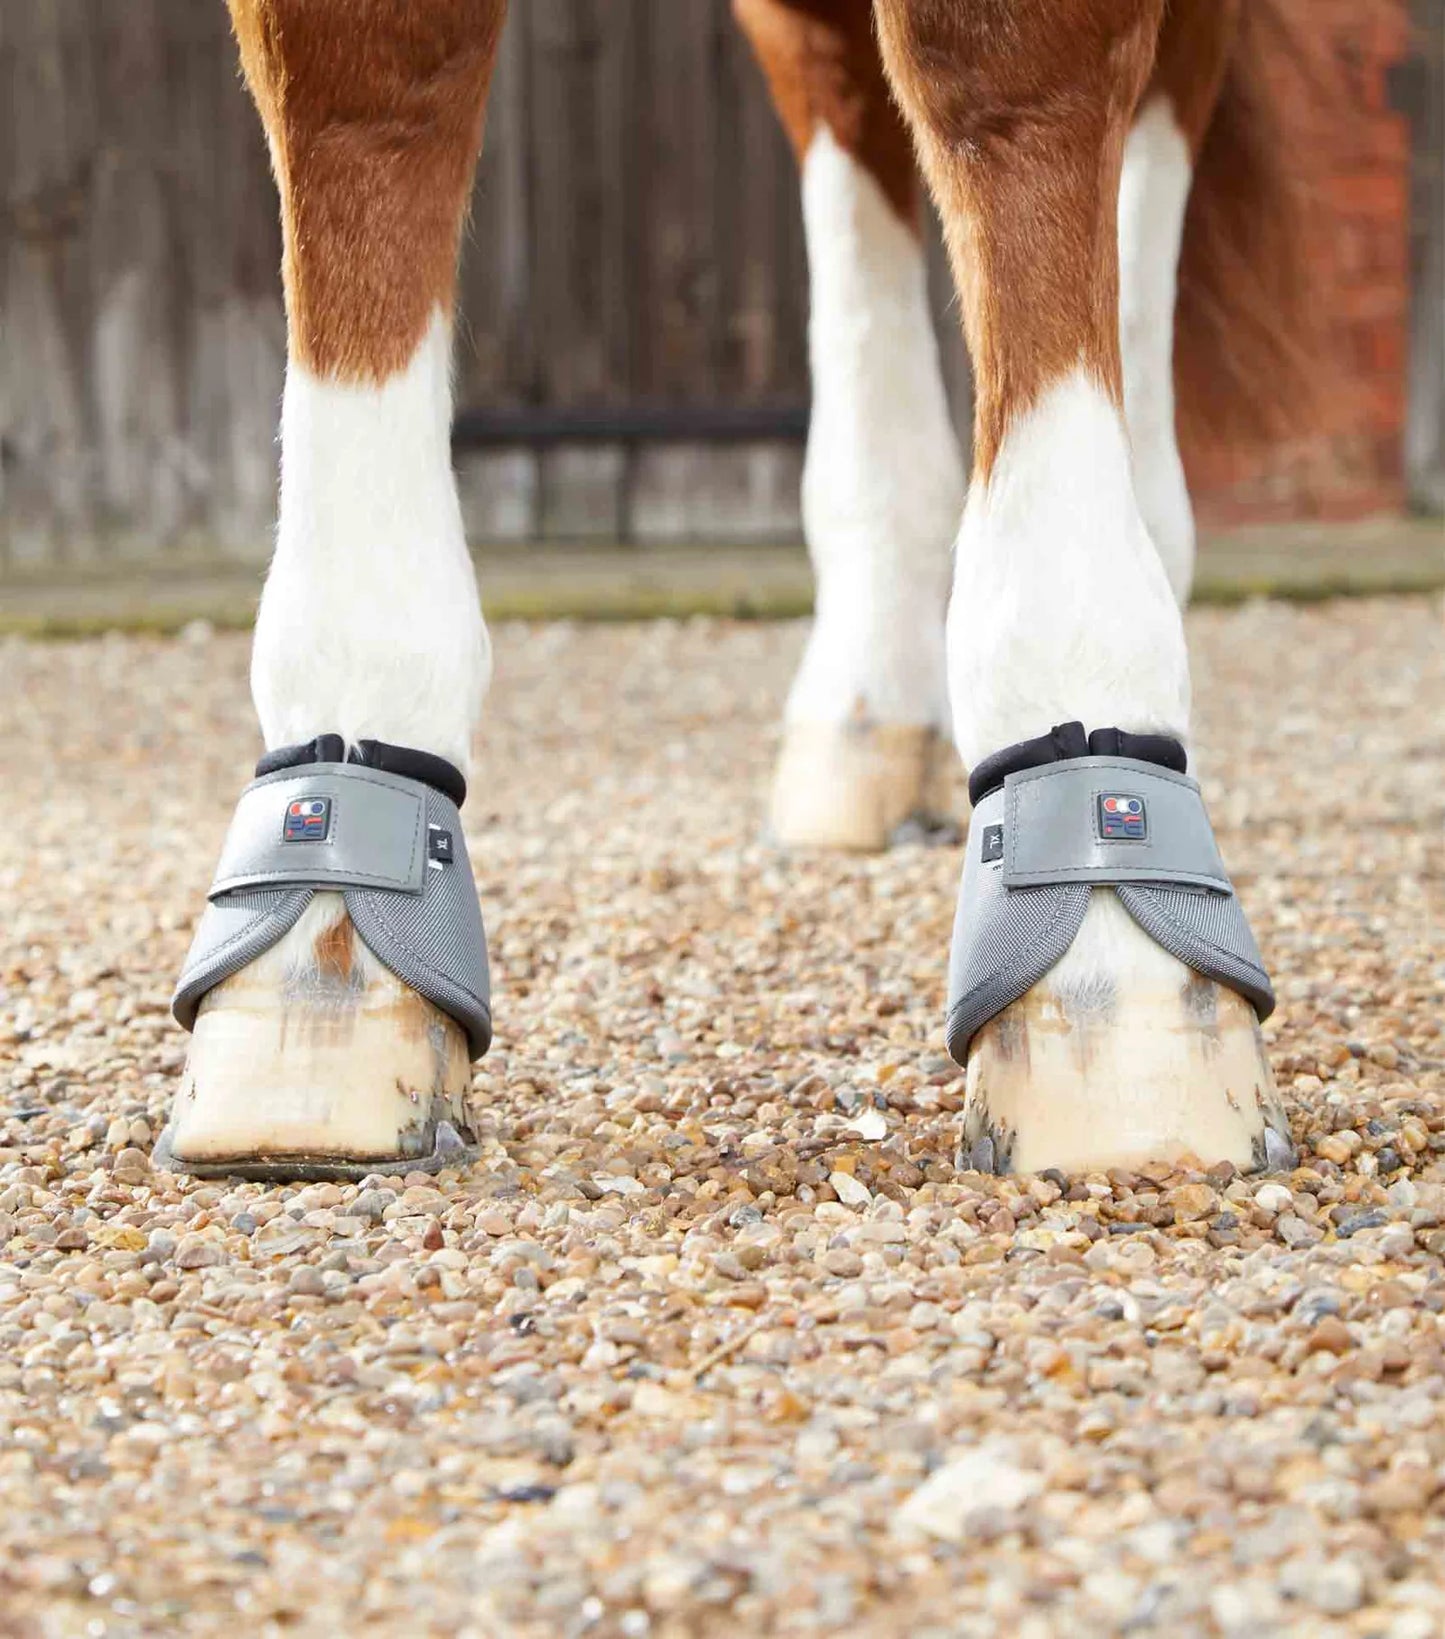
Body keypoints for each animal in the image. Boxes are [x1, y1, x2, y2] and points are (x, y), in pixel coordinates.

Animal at [159, 0, 1317, 1183]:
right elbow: (368, 99)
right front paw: (316, 968)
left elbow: (1011, 85)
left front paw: (1114, 967)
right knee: (849, 109)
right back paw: (865, 712)